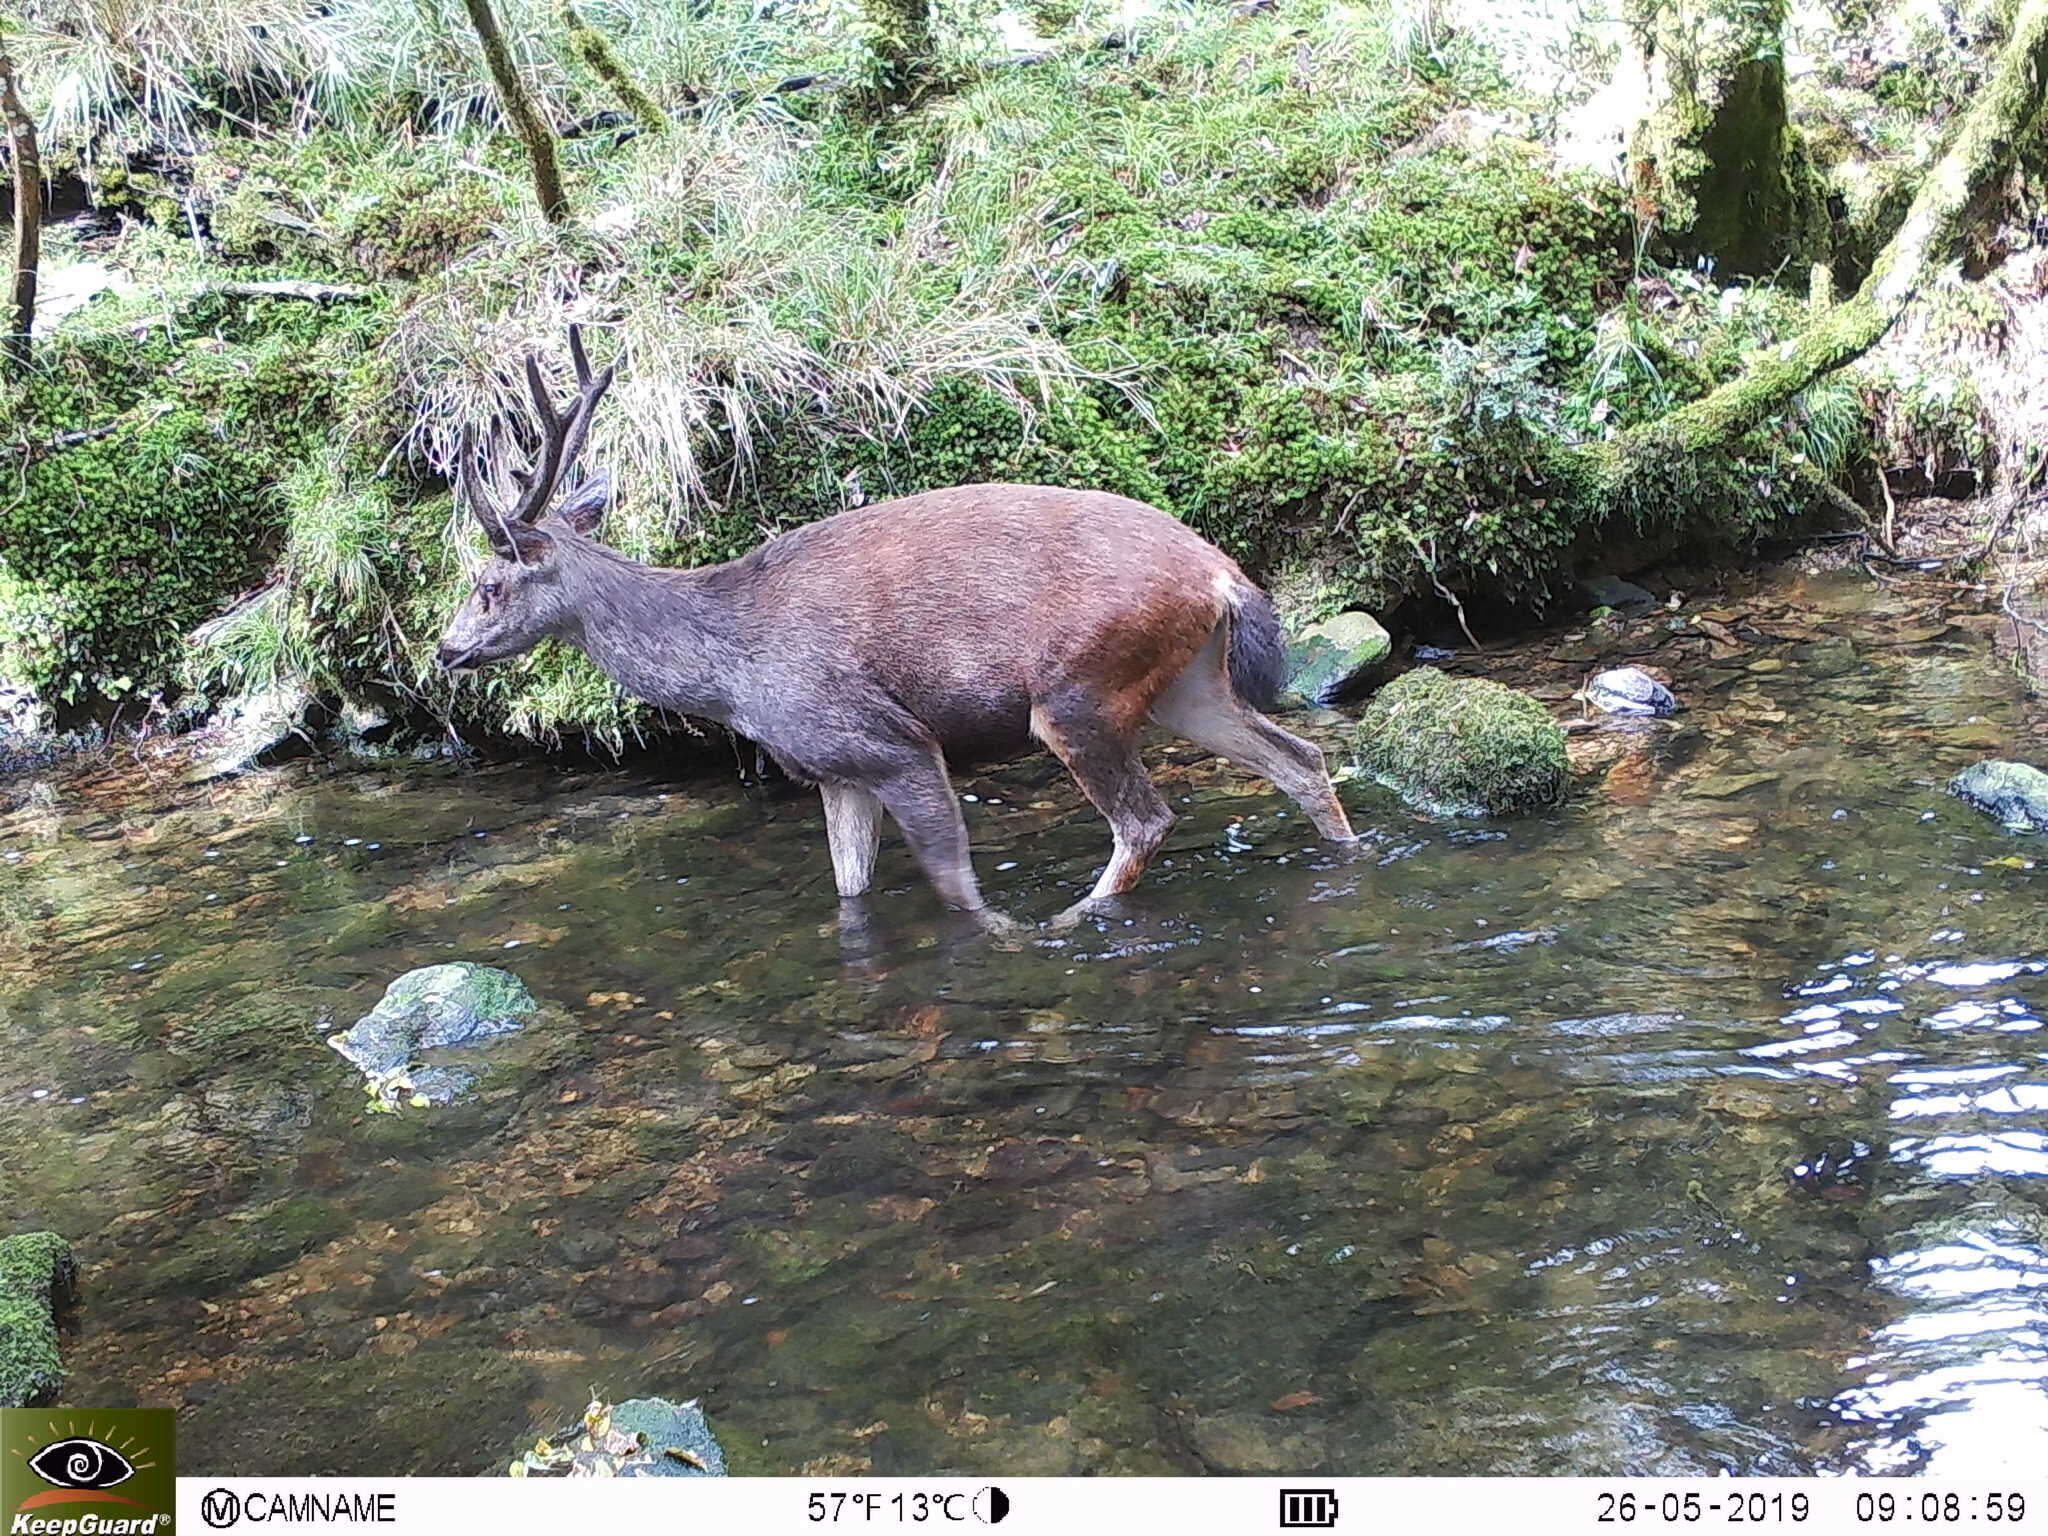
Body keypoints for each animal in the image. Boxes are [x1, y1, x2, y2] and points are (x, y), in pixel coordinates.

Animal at [434, 329, 1359, 933]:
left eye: (487, 586)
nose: (445, 650)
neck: (730, 669)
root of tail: (1222, 575)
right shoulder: (832, 770)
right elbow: (850, 891)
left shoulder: (889, 742)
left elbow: (956, 887)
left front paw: (994, 936)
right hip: (1185, 681)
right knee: (1298, 758)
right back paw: (1345, 855)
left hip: (1080, 689)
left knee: (1146, 820)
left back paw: (1071, 920)